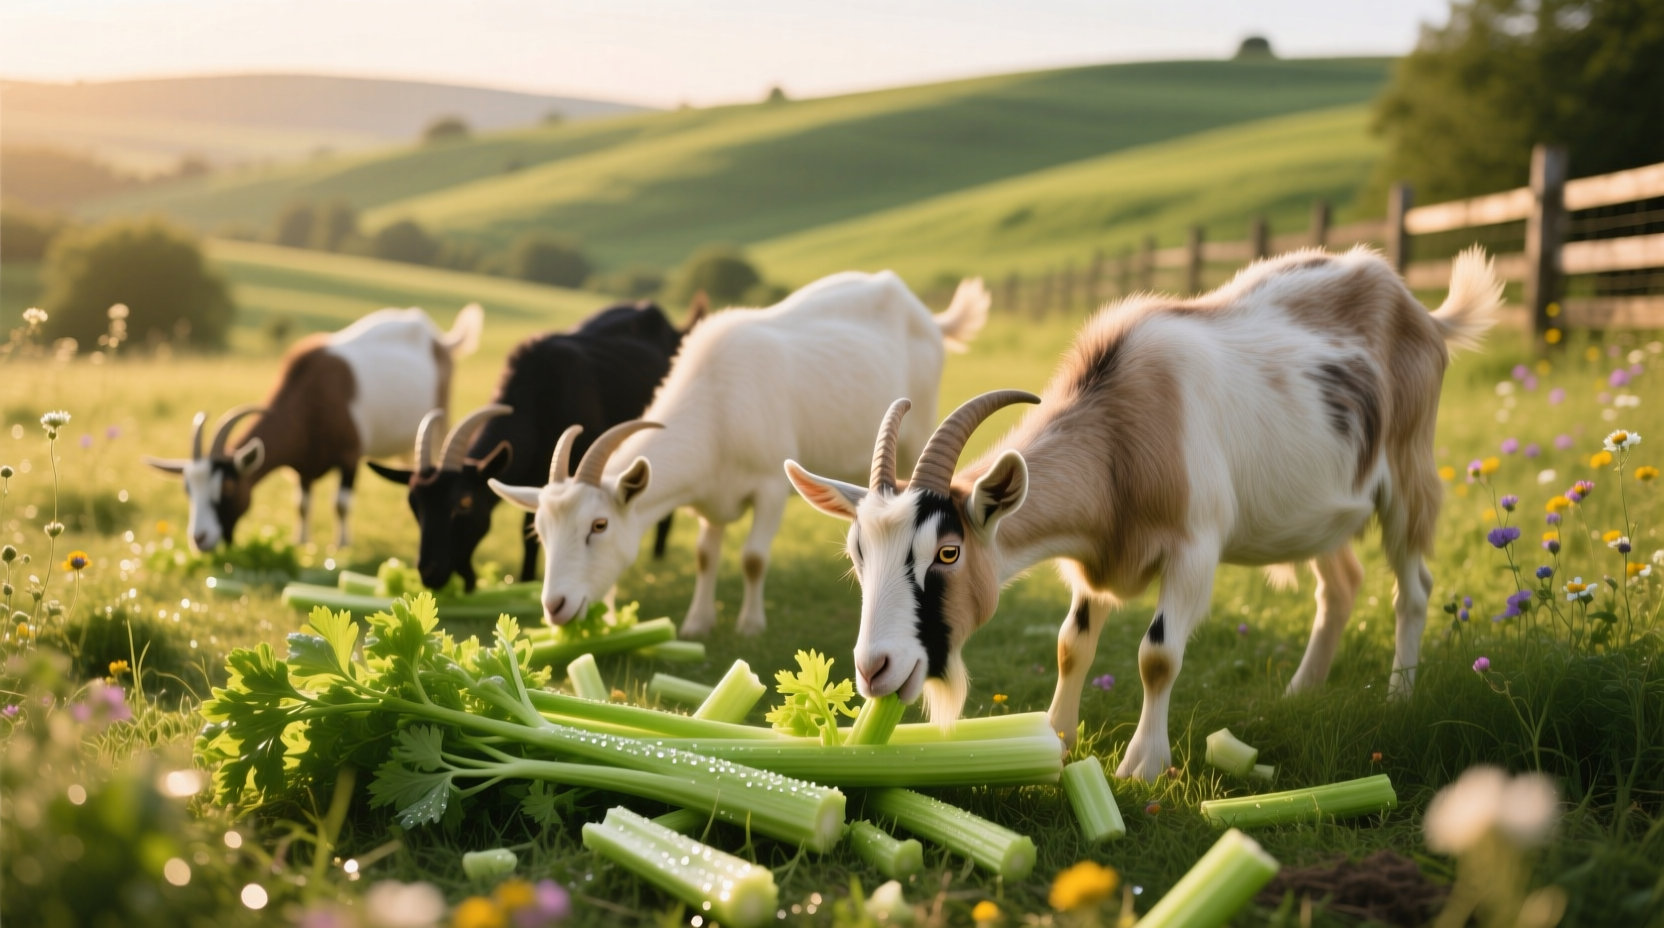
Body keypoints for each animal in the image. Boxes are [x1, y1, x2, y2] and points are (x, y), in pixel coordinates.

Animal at [145, 305, 483, 552]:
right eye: (188, 489)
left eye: (227, 487)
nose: (199, 539)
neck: (311, 394)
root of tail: (440, 340)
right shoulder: (303, 467)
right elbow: (302, 505)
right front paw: (301, 542)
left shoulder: (350, 456)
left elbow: (341, 504)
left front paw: (341, 546)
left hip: (439, 422)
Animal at [367, 300, 702, 590]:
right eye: (414, 504)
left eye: (464, 503)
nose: (429, 573)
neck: (538, 401)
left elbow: (533, 533)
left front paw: (528, 581)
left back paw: (658, 556)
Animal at [489, 271, 990, 636]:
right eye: (539, 531)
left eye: (599, 525)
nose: (555, 606)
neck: (717, 405)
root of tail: (926, 314)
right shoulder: (711, 495)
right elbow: (704, 556)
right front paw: (697, 623)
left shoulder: (769, 487)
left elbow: (752, 558)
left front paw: (750, 625)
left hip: (916, 433)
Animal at [786, 248, 1500, 780]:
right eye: (857, 554)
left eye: (948, 551)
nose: (874, 669)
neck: (1122, 429)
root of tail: (1421, 311)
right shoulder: (1094, 562)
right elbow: (1071, 645)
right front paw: (1055, 737)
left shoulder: (1194, 551)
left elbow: (1157, 655)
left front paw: (1142, 765)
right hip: (1317, 510)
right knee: (1342, 584)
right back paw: (1302, 690)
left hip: (1407, 476)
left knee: (1414, 587)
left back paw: (1399, 694)